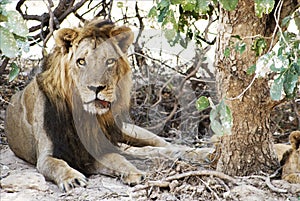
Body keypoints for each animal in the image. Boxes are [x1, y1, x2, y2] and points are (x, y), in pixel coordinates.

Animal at [4, 18, 212, 192]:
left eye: (110, 61)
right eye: (81, 61)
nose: (97, 87)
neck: (83, 115)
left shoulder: (97, 149)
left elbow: (118, 159)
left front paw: (134, 173)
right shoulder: (47, 156)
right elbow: (58, 165)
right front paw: (73, 178)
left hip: (130, 132)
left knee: (164, 146)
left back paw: (202, 153)